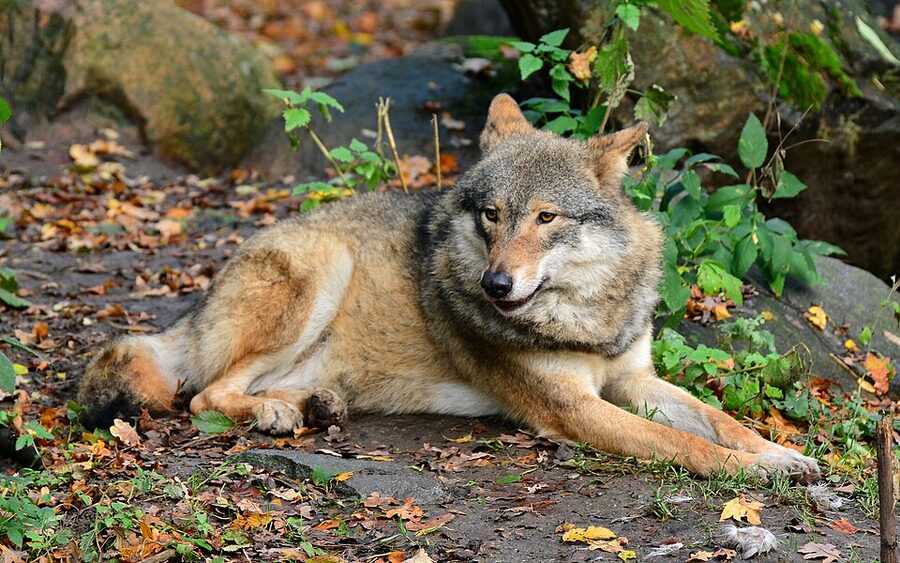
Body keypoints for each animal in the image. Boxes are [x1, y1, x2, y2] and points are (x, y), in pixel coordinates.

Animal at [78, 94, 819, 479]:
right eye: (491, 214)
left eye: (545, 218)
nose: (495, 282)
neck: (585, 314)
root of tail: (195, 308)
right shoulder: (574, 409)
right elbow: (688, 445)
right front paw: (757, 474)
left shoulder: (634, 379)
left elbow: (722, 421)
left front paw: (785, 455)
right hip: (323, 268)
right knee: (206, 392)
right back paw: (277, 414)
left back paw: (310, 405)